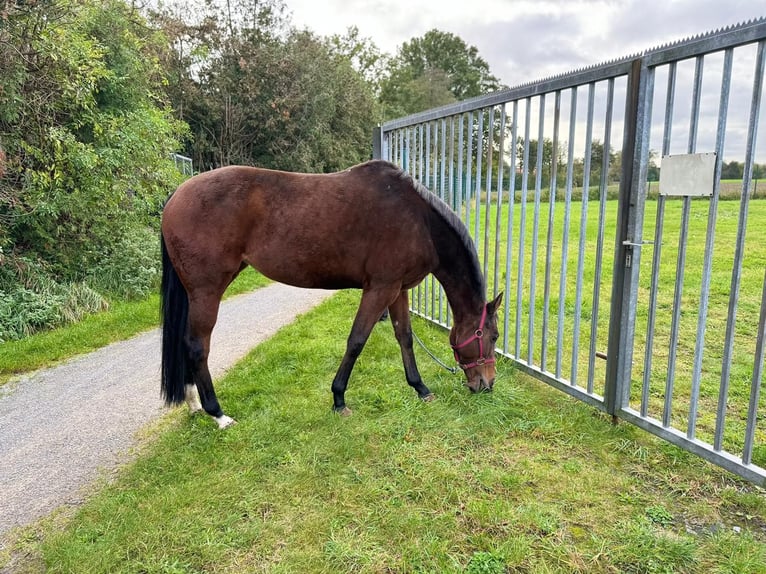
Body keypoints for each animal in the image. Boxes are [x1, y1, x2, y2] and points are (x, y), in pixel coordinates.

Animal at [162, 160, 504, 430]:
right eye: (494, 336)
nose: (487, 384)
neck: (420, 222)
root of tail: (176, 195)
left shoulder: (398, 290)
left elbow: (404, 337)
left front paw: (420, 388)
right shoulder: (380, 288)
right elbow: (356, 341)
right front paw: (339, 399)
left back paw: (194, 404)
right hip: (207, 290)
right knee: (197, 346)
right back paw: (217, 414)